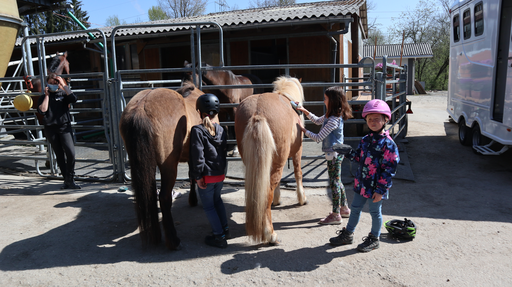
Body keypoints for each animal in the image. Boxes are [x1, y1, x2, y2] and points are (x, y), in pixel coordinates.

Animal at [120, 84, 204, 252]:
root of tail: (140, 109)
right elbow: (193, 176)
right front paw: (193, 199)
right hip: (168, 166)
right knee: (164, 197)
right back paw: (173, 240)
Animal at [234, 76, 306, 245]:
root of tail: (257, 113)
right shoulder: (297, 151)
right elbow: (298, 172)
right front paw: (302, 198)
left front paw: (278, 200)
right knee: (266, 193)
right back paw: (270, 234)